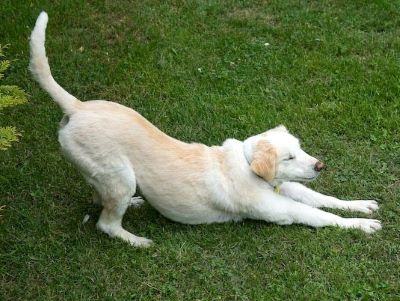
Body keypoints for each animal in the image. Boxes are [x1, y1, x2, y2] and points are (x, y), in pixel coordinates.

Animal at [30, 12, 382, 246]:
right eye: (289, 157)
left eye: (301, 150)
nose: (320, 165)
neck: (246, 164)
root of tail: (77, 106)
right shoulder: (282, 210)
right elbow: (323, 216)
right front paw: (361, 225)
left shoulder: (289, 188)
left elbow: (324, 198)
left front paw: (360, 205)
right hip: (118, 176)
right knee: (105, 224)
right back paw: (136, 240)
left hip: (106, 174)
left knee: (99, 195)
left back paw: (134, 204)